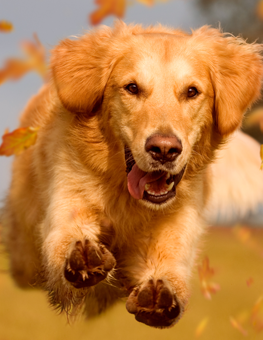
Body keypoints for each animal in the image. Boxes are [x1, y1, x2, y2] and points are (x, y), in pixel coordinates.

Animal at [2, 21, 263, 330]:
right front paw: (82, 257)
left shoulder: (177, 232)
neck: (128, 202)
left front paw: (161, 296)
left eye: (192, 91)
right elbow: (65, 238)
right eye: (132, 88)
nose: (164, 150)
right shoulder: (65, 205)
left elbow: (171, 268)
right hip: (24, 253)